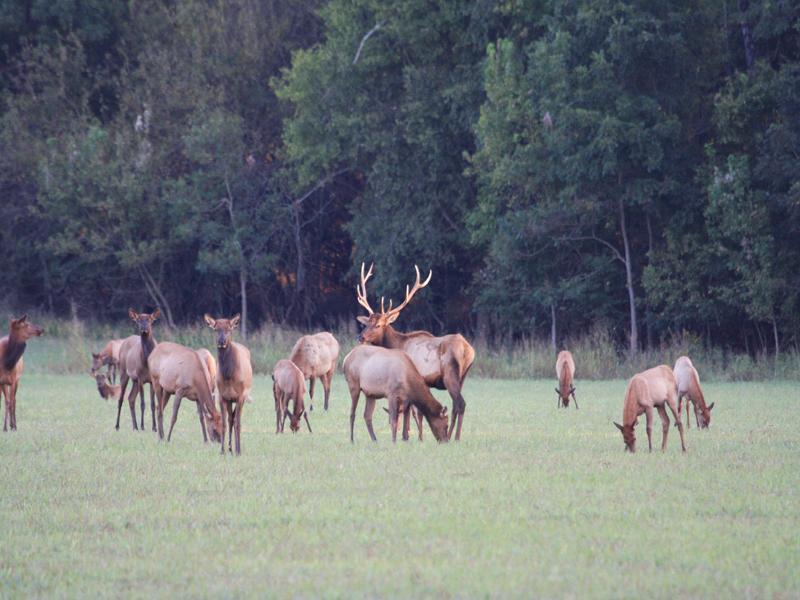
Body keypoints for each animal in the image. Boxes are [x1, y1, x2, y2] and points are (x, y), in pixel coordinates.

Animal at [205, 314, 252, 454]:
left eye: (229, 329)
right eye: (216, 329)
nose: (222, 341)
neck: (229, 376)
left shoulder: (240, 396)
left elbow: (238, 423)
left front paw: (239, 450)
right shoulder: (223, 396)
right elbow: (225, 423)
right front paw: (222, 450)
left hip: (242, 397)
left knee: (235, 419)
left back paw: (235, 448)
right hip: (231, 400)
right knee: (231, 419)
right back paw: (230, 448)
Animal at [356, 262, 476, 440]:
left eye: (378, 325)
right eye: (366, 323)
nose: (361, 337)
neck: (397, 343)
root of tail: (468, 350)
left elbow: (412, 410)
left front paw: (411, 436)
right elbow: (417, 411)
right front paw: (417, 436)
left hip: (450, 375)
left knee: (460, 403)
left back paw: (454, 437)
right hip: (463, 377)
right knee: (457, 404)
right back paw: (453, 435)